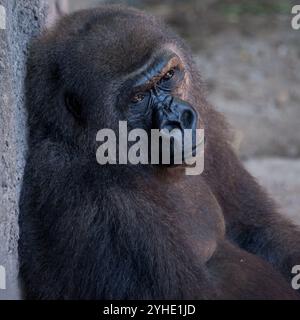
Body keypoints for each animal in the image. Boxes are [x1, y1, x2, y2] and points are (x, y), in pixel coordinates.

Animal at [18, 5, 300, 300]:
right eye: (138, 98)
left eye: (168, 77)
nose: (179, 120)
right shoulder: (80, 188)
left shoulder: (206, 124)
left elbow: (257, 229)